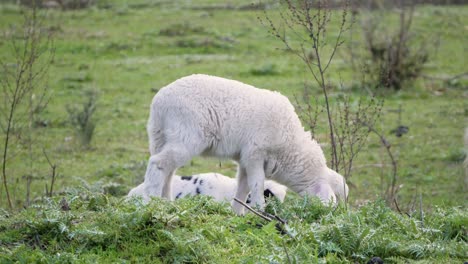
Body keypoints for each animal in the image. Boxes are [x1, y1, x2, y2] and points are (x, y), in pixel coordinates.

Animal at [131, 74, 348, 214]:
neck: (290, 148)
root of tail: (159, 102)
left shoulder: (244, 159)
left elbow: (242, 187)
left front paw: (237, 213)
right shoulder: (255, 153)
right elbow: (257, 184)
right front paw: (261, 210)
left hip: (159, 136)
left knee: (167, 171)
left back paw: (167, 203)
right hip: (186, 136)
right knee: (158, 164)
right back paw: (151, 203)